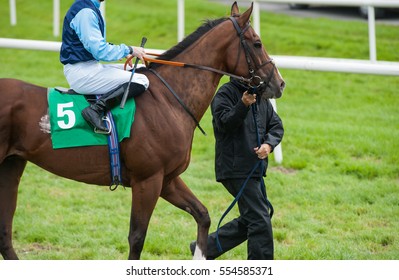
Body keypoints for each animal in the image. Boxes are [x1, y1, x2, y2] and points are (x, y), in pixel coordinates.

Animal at [0, 2, 284, 260]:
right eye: (257, 43)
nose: (279, 83)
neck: (169, 101)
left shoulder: (167, 178)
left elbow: (202, 215)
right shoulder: (148, 180)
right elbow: (137, 238)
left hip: (12, 164)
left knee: (5, 232)